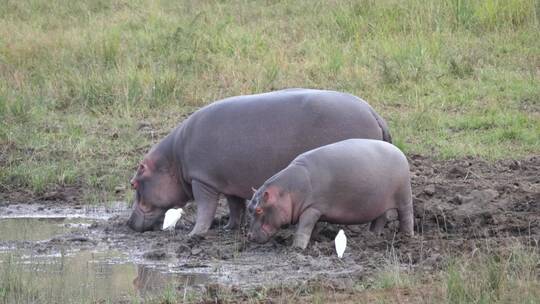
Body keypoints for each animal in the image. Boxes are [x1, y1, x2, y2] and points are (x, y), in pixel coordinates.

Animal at [129, 88, 394, 235]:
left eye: (135, 182)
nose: (129, 223)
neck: (173, 161)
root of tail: (374, 114)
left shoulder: (202, 180)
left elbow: (206, 208)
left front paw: (195, 234)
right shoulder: (228, 182)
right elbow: (235, 208)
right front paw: (228, 228)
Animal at [248, 138, 414, 249]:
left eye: (259, 209)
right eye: (249, 208)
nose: (248, 236)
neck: (287, 191)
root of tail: (399, 151)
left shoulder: (312, 208)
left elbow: (304, 228)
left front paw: (297, 248)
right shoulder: (314, 210)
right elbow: (312, 227)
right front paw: (316, 240)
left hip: (403, 196)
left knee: (407, 216)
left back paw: (407, 237)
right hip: (379, 201)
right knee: (380, 218)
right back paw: (372, 236)